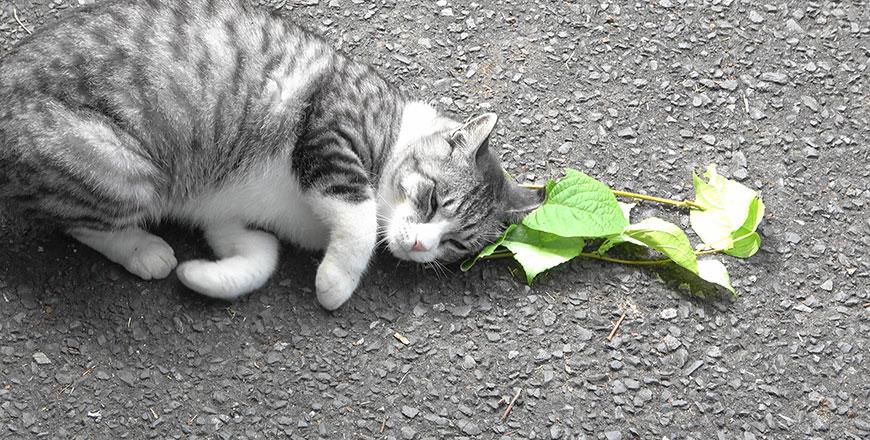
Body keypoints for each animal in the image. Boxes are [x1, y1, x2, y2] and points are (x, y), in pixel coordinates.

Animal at [0, 0, 544, 310]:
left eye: (454, 244)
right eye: (432, 200)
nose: (418, 246)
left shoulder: (224, 217)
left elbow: (261, 255)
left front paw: (203, 277)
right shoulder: (330, 131)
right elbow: (358, 220)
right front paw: (334, 285)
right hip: (120, 168)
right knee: (77, 221)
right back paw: (143, 249)